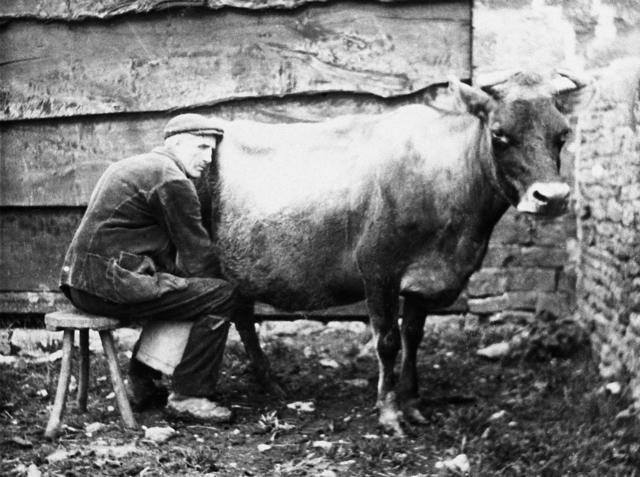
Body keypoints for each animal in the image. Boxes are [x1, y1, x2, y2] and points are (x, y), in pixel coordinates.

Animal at [196, 69, 592, 436]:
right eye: (499, 134)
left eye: (562, 135)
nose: (552, 197)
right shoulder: (378, 270)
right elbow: (387, 341)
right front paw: (389, 413)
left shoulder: (424, 281)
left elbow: (413, 336)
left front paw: (412, 402)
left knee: (241, 315)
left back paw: (270, 381)